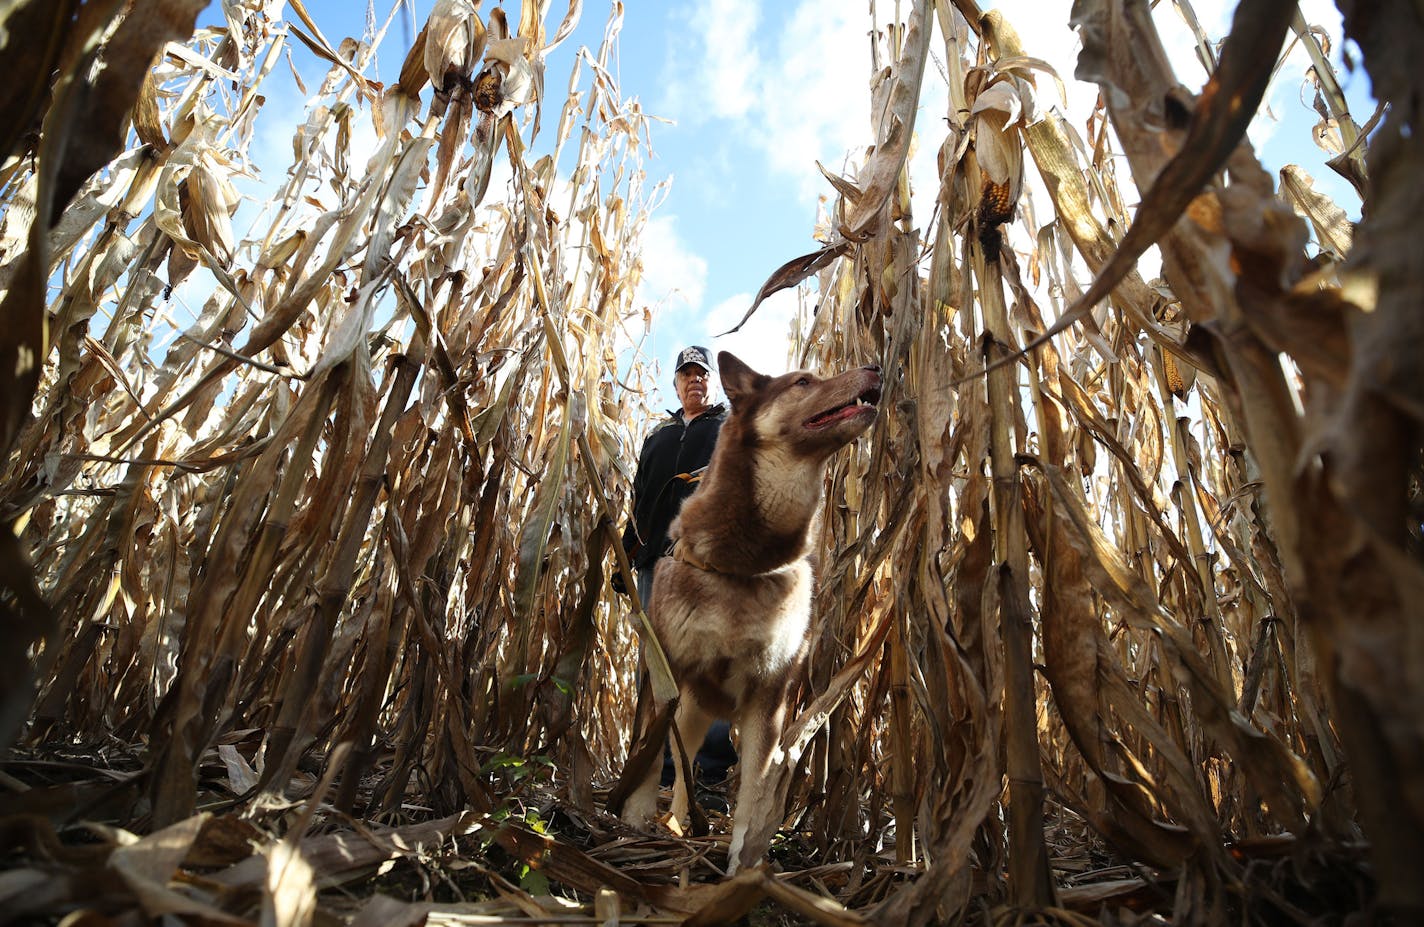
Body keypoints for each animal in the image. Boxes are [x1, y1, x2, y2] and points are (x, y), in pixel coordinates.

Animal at [620, 351, 877, 871]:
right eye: (803, 382)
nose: (877, 368)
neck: (744, 563)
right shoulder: (663, 673)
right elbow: (649, 759)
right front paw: (633, 824)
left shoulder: (769, 696)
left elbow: (754, 796)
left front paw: (744, 862)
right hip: (685, 713)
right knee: (681, 769)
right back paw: (674, 823)